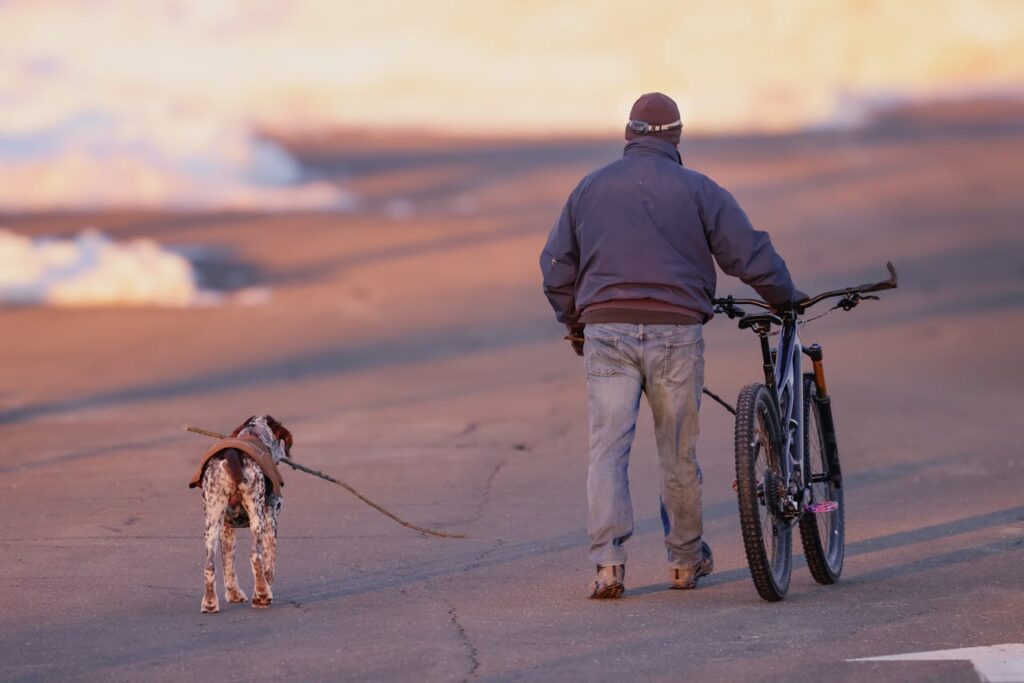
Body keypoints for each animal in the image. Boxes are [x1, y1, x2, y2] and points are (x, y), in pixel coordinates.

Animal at [187, 413, 290, 618]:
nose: (283, 454)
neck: (254, 433)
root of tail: (231, 455)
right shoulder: (272, 518)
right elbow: (269, 564)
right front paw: (265, 589)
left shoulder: (226, 529)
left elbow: (228, 565)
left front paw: (234, 594)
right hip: (257, 518)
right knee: (255, 556)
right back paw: (262, 596)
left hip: (212, 520)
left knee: (209, 566)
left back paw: (209, 604)